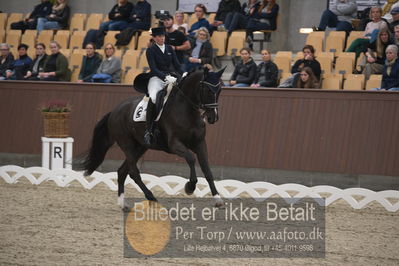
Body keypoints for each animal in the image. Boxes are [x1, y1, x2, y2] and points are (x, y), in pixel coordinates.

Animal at [82, 67, 225, 209]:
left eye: (219, 90)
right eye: (207, 90)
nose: (213, 118)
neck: (187, 111)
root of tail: (114, 111)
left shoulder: (200, 144)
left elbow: (207, 170)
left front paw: (217, 199)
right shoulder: (174, 144)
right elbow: (191, 158)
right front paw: (190, 187)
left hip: (140, 147)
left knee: (122, 171)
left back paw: (123, 203)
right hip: (127, 144)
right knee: (133, 173)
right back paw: (151, 198)